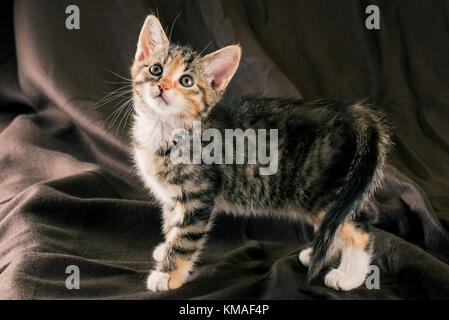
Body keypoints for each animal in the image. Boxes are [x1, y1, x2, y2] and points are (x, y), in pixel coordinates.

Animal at [130, 16, 388, 292]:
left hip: (325, 191)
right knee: (337, 222)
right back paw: (319, 254)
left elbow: (185, 237)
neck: (164, 129)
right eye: (156, 69)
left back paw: (349, 276)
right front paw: (166, 248)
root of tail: (356, 113)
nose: (162, 86)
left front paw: (167, 274)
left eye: (186, 81)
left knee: (359, 226)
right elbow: (172, 224)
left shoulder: (198, 195)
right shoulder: (172, 196)